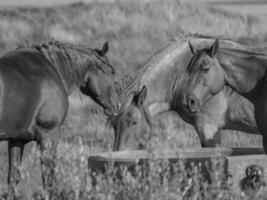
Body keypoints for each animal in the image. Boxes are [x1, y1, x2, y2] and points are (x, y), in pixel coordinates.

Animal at [0, 39, 119, 198]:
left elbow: (13, 178)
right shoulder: (48, 134)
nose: (117, 106)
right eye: (111, 72)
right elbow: (49, 178)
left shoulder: (16, 140)